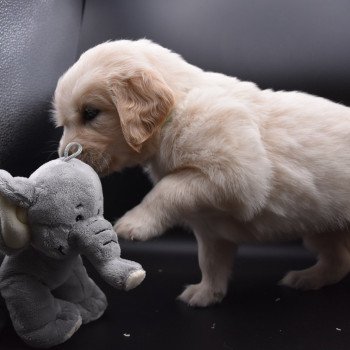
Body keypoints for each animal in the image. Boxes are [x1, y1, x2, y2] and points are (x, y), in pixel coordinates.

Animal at [52, 39, 350, 306]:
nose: (63, 154)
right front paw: (206, 294)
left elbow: (168, 187)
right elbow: (210, 261)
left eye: (91, 113)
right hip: (321, 229)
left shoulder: (235, 175)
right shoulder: (210, 227)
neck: (175, 111)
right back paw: (308, 278)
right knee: (338, 260)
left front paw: (135, 223)